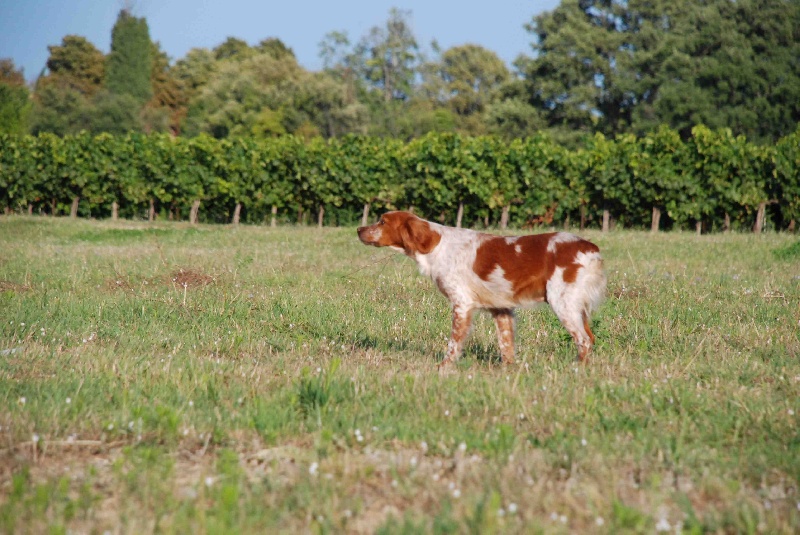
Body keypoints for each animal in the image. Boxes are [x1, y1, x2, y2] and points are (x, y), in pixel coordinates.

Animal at [358, 211, 608, 370]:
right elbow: (506, 345)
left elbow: (453, 343)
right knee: (590, 337)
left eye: (382, 221)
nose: (359, 229)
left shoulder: (462, 303)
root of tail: (590, 247)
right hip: (575, 306)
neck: (437, 245)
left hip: (562, 302)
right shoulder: (501, 309)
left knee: (584, 339)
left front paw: (443, 367)